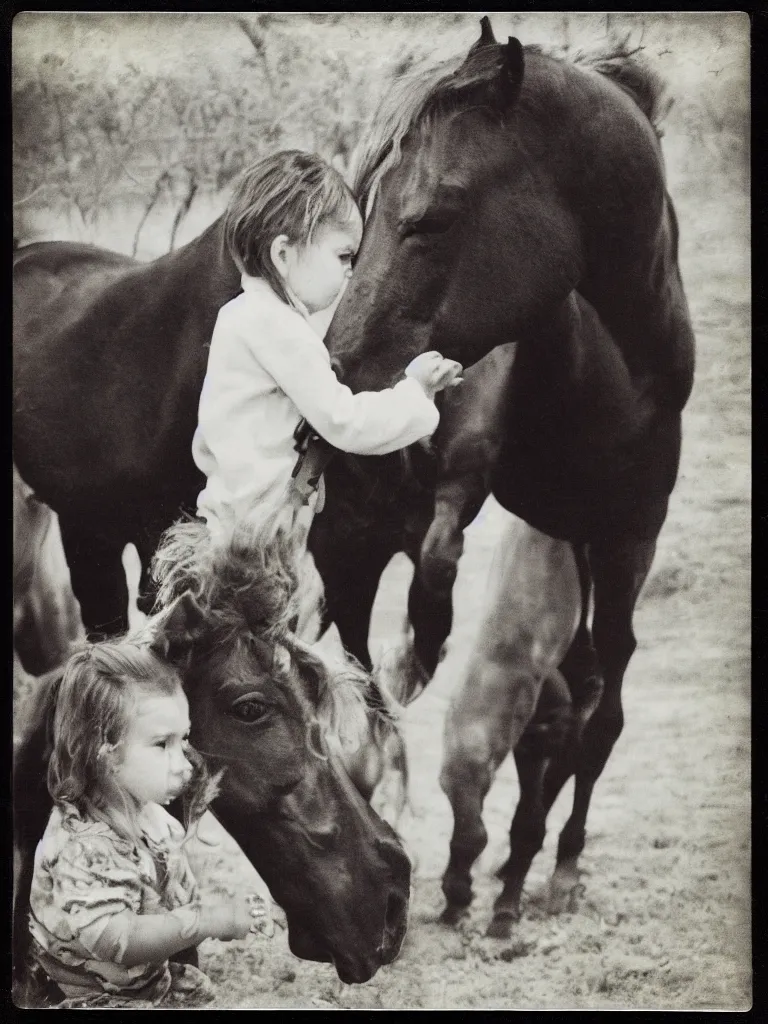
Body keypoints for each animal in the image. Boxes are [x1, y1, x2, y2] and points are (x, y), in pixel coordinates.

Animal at [325, 18, 696, 929]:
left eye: (432, 217)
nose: (337, 371)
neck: (611, 374)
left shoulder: (622, 536)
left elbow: (598, 708)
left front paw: (543, 864)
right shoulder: (465, 477)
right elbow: (439, 562)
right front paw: (422, 646)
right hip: (360, 548)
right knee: (359, 662)